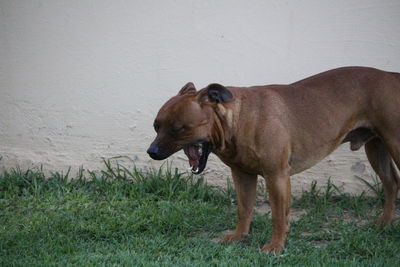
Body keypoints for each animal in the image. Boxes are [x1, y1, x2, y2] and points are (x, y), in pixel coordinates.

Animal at [147, 67, 400, 253]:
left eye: (178, 128)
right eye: (156, 126)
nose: (152, 151)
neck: (238, 119)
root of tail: (391, 75)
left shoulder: (276, 176)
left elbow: (278, 215)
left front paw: (276, 246)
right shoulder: (243, 176)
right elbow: (244, 209)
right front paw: (240, 236)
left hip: (394, 144)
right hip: (377, 149)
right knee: (391, 183)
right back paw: (385, 222)